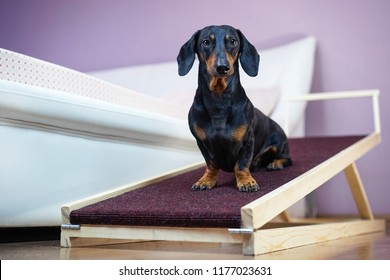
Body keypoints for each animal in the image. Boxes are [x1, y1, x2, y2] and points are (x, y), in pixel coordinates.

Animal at [178, 25, 290, 192]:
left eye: (232, 41)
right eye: (206, 42)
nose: (222, 67)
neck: (219, 100)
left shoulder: (248, 141)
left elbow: (241, 165)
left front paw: (246, 181)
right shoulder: (201, 143)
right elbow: (211, 164)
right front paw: (207, 180)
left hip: (278, 144)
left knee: (287, 159)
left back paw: (276, 163)